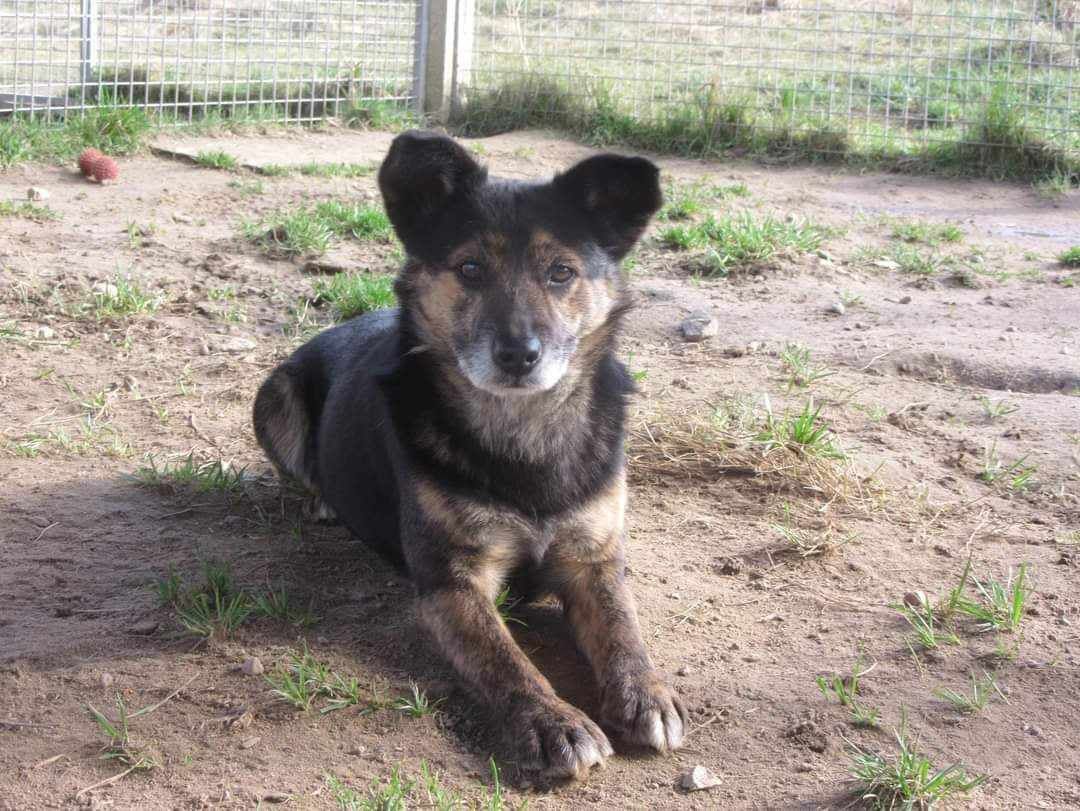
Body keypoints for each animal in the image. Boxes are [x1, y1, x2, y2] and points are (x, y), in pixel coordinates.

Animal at [252, 131, 682, 781]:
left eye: (561, 272)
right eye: (471, 268)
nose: (519, 355)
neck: (523, 431)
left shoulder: (595, 561)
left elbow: (623, 629)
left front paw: (646, 691)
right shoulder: (452, 585)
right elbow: (506, 660)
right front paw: (553, 721)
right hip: (274, 396)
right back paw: (321, 501)